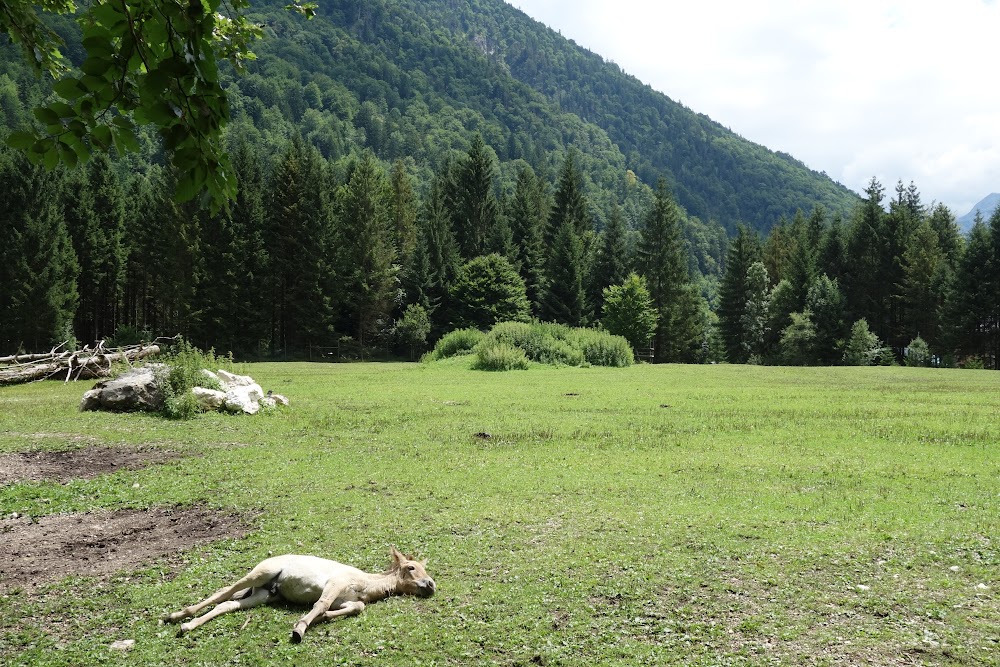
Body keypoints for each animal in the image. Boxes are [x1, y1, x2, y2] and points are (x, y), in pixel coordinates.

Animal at [162, 544, 436, 644]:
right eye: (411, 568)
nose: (431, 584)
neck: (365, 583)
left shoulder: (347, 600)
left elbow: (354, 608)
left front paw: (323, 619)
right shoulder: (334, 584)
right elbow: (321, 604)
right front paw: (300, 629)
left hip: (263, 595)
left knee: (227, 605)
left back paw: (187, 625)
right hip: (259, 574)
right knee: (223, 593)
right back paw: (176, 617)